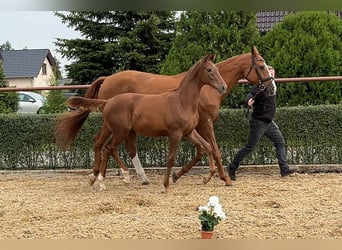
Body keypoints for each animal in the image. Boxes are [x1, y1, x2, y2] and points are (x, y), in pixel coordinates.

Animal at [66, 53, 227, 192]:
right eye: (209, 69)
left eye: (217, 69)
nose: (223, 87)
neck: (182, 102)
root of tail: (108, 101)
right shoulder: (175, 133)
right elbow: (171, 158)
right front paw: (165, 184)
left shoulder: (189, 133)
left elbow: (208, 147)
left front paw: (208, 177)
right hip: (120, 131)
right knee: (108, 148)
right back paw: (107, 180)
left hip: (122, 131)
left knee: (110, 147)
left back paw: (107, 179)